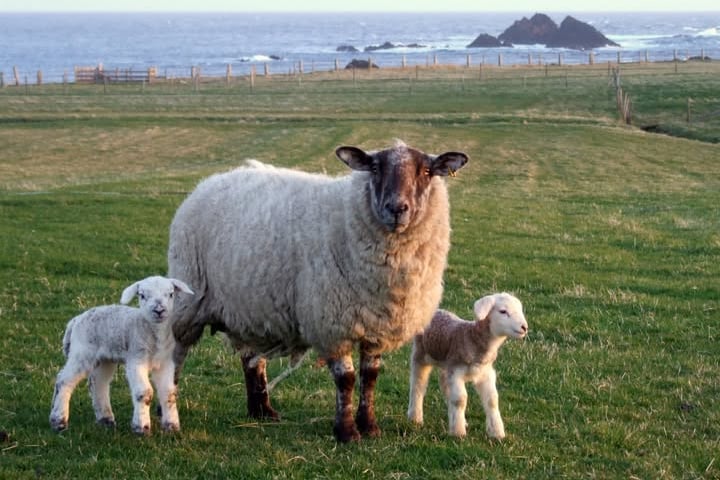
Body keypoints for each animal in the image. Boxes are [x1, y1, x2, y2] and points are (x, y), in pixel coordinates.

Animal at [49, 276, 194, 435]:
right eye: (142, 295)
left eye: (171, 294)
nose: (159, 310)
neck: (155, 337)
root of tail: (75, 320)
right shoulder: (136, 359)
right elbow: (144, 392)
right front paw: (142, 427)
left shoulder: (165, 363)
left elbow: (169, 393)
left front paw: (172, 426)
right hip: (82, 352)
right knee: (64, 381)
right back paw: (59, 421)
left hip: (105, 358)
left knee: (98, 382)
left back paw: (105, 419)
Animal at [167, 139, 469, 442]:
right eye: (374, 167)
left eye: (427, 171)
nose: (397, 208)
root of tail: (210, 182)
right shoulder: (332, 322)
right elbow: (346, 379)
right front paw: (347, 432)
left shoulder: (376, 326)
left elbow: (370, 376)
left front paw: (370, 426)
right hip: (187, 303)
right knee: (174, 356)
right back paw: (168, 410)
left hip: (251, 306)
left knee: (252, 359)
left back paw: (262, 410)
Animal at [407, 293, 528, 439]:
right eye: (503, 311)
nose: (524, 327)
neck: (472, 338)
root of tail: (437, 310)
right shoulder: (456, 371)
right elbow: (460, 399)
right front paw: (459, 433)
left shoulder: (485, 373)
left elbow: (492, 400)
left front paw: (497, 432)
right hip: (421, 354)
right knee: (418, 384)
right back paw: (415, 417)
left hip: (447, 364)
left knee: (445, 385)